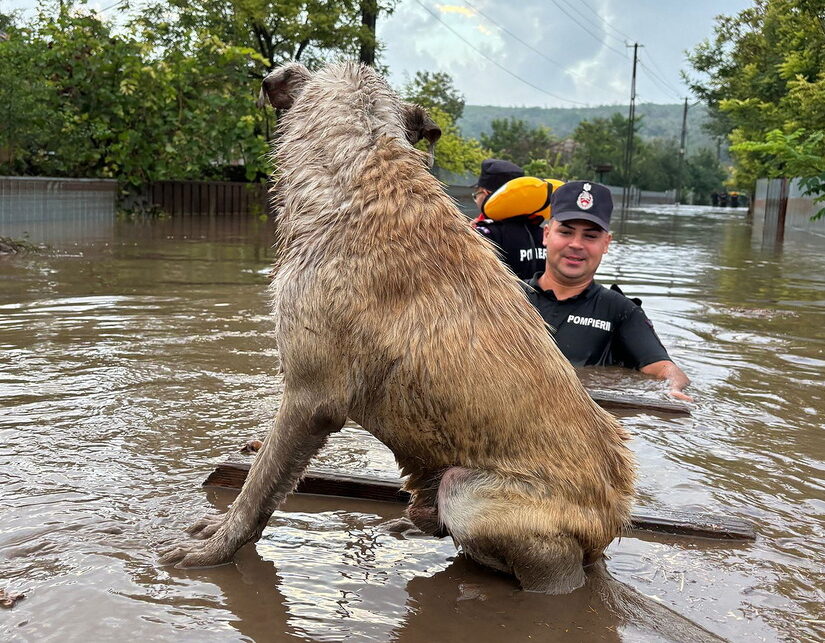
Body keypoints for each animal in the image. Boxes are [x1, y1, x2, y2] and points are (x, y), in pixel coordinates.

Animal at [163, 60, 636, 592]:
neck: (363, 168)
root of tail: (613, 520)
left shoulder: (310, 398)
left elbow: (258, 487)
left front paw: (215, 549)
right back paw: (408, 527)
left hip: (471, 494)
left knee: (551, 567)